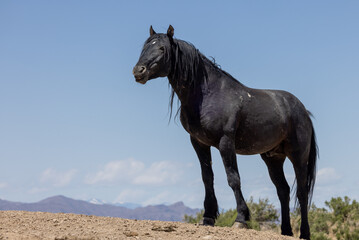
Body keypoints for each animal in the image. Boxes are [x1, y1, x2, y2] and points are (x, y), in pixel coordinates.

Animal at [134, 25, 320, 239]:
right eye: (145, 47)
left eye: (162, 48)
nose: (138, 71)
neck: (208, 95)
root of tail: (303, 111)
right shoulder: (198, 143)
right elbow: (207, 178)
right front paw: (208, 217)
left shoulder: (225, 142)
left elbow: (233, 179)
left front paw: (241, 219)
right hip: (273, 158)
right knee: (283, 190)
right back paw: (286, 231)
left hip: (298, 156)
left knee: (302, 192)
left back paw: (304, 233)